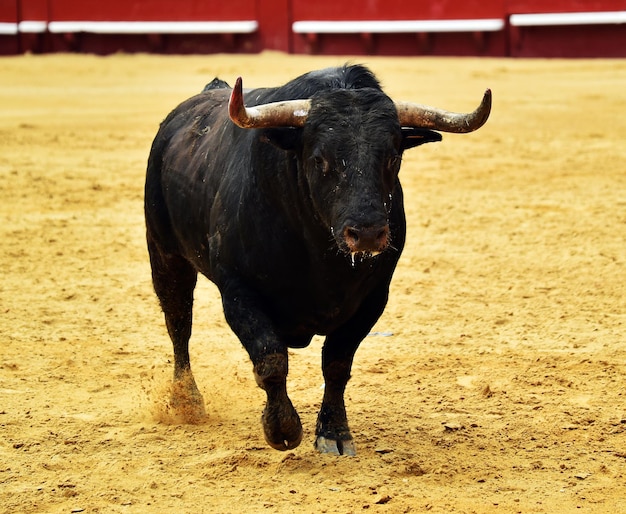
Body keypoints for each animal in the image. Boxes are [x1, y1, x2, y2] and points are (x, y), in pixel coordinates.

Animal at [144, 64, 490, 452]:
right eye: (319, 159)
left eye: (393, 156)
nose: (367, 232)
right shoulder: (237, 291)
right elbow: (271, 358)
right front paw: (282, 429)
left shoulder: (374, 298)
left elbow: (337, 362)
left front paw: (334, 433)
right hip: (165, 255)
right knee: (179, 323)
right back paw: (186, 401)